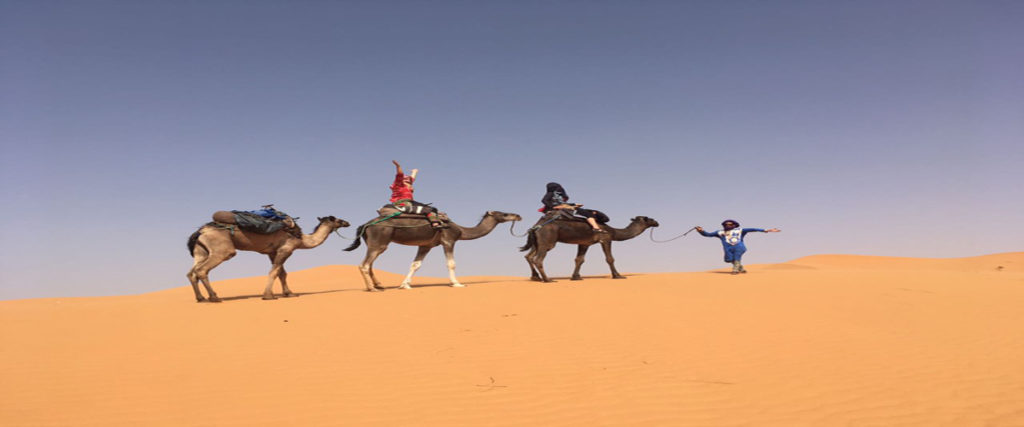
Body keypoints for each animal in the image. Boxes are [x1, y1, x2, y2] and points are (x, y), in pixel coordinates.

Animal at [188, 215, 352, 301]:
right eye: (337, 219)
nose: (347, 222)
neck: (302, 239)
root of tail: (201, 231)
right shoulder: (286, 249)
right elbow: (275, 272)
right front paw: (268, 296)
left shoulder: (273, 252)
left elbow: (282, 273)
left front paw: (289, 293)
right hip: (222, 249)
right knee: (202, 270)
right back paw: (214, 297)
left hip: (201, 250)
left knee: (192, 272)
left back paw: (200, 298)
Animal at [346, 209, 524, 288]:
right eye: (504, 214)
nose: (518, 215)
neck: (461, 230)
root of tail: (365, 224)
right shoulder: (449, 240)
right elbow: (451, 264)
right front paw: (457, 283)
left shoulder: (426, 245)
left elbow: (415, 265)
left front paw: (405, 285)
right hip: (380, 240)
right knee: (365, 264)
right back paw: (372, 288)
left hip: (375, 242)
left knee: (370, 264)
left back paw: (378, 285)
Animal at [516, 215, 659, 280]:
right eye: (648, 218)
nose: (657, 222)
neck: (613, 231)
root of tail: (535, 227)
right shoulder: (605, 239)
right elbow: (610, 259)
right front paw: (618, 276)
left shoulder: (584, 243)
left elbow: (579, 260)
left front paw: (576, 277)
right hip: (548, 241)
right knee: (538, 259)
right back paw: (547, 280)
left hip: (538, 241)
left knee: (528, 256)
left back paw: (535, 277)